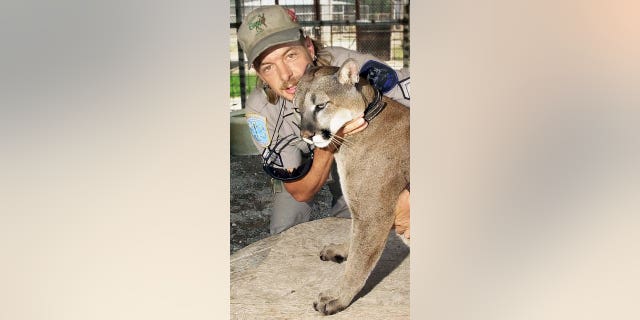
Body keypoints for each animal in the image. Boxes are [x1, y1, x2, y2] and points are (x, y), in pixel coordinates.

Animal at [294, 58, 410, 316]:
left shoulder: (373, 214)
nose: (306, 135)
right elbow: (355, 239)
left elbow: (359, 262)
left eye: (321, 105)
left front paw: (337, 297)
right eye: (297, 109)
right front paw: (341, 249)